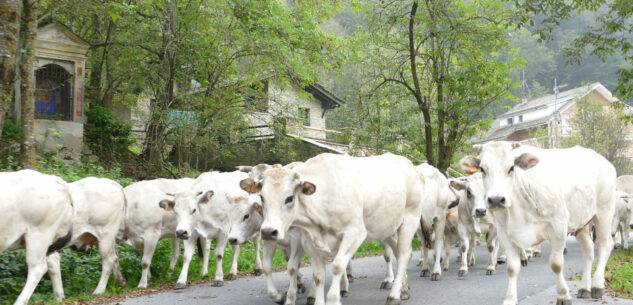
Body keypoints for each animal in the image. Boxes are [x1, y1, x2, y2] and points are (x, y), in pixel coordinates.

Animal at [0, 169, 73, 304]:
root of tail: (53, 178)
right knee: (53, 259)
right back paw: (58, 297)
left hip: (40, 233)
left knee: (38, 267)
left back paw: (19, 301)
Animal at [239, 153, 428, 304]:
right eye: (262, 197)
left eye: (289, 198)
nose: (268, 232)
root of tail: (409, 165)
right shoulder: (308, 241)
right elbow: (318, 275)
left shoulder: (354, 233)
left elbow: (337, 266)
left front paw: (334, 298)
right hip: (386, 227)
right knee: (398, 252)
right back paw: (404, 290)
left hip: (409, 219)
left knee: (403, 255)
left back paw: (394, 295)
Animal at [460, 142, 612, 304]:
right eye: (482, 169)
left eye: (512, 168)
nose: (496, 199)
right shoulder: (504, 233)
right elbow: (512, 268)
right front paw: (510, 298)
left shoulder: (558, 226)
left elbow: (556, 264)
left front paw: (563, 295)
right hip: (581, 223)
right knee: (588, 250)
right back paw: (585, 288)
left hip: (604, 212)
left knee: (605, 245)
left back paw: (597, 285)